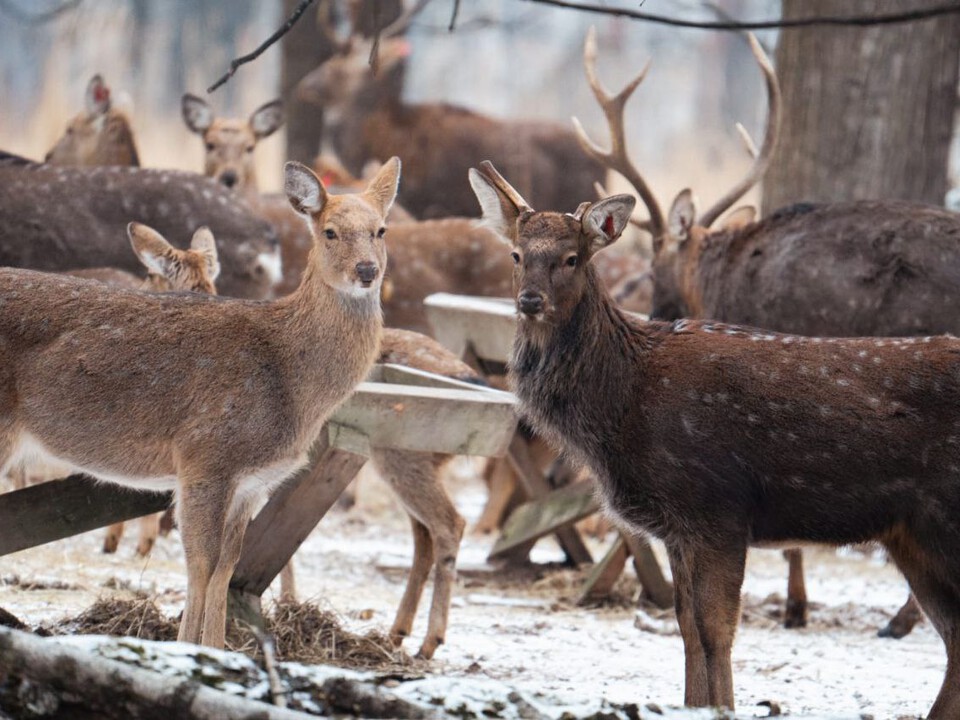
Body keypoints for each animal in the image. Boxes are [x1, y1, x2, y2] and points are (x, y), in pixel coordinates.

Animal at [470, 160, 960, 716]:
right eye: (516, 254)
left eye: (571, 258)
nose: (530, 300)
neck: (620, 407)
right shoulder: (678, 528)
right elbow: (686, 629)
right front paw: (698, 702)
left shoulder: (717, 508)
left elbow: (716, 630)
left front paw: (722, 705)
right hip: (912, 534)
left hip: (943, 518)